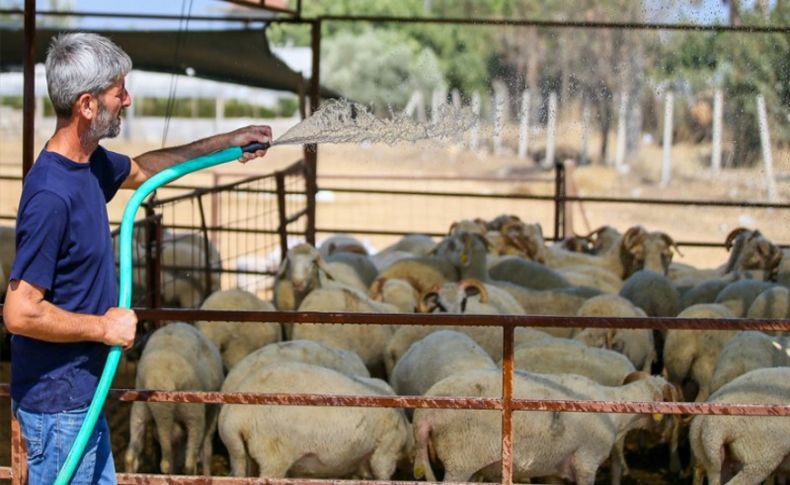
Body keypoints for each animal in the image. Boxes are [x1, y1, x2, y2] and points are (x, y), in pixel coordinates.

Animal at [412, 366, 676, 484]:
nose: (666, 437)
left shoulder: (554, 466)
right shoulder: (586, 461)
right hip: (460, 460)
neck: (614, 411)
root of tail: (424, 414)